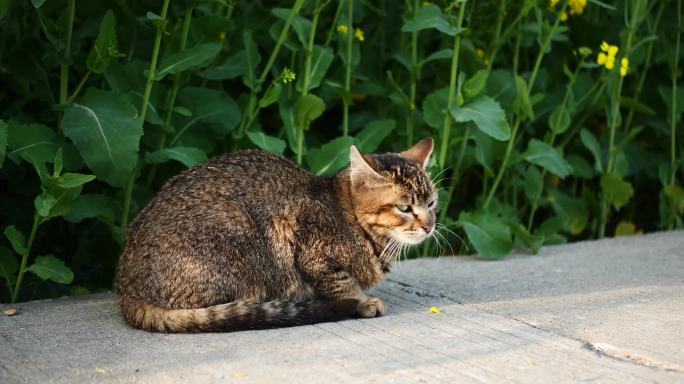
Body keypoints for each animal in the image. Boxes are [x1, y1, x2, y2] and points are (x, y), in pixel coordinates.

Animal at [116, 139, 438, 332]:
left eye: (432, 203)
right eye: (404, 207)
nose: (429, 226)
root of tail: (126, 289)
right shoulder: (307, 244)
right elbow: (342, 283)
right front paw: (362, 302)